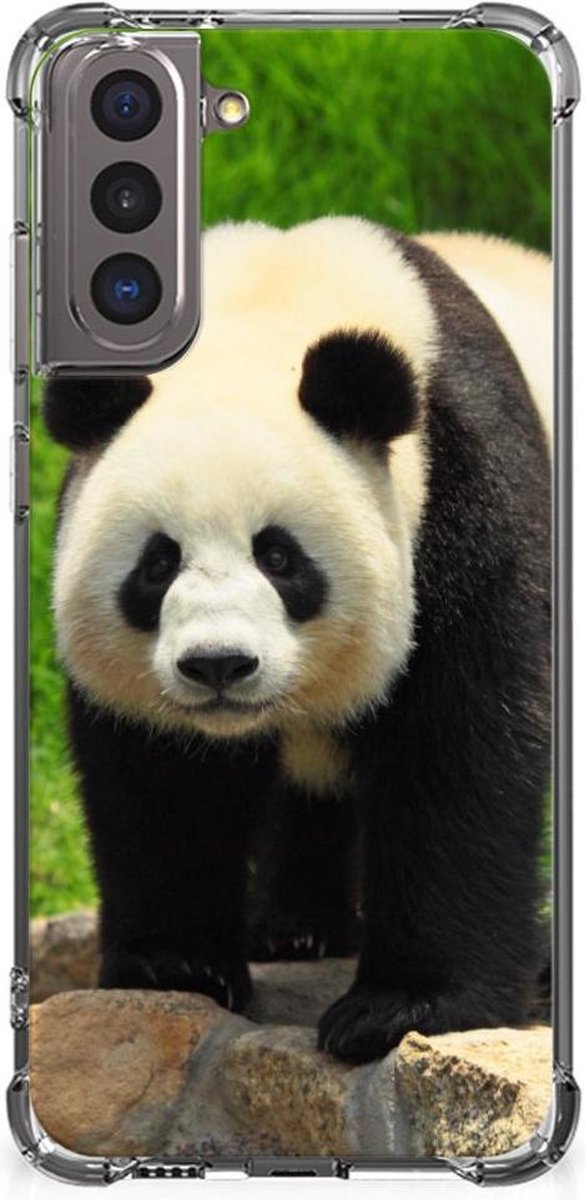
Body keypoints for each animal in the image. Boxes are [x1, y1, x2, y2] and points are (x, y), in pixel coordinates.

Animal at [44, 218, 551, 1065]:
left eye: (279, 557)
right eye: (157, 563)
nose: (218, 665)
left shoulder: (467, 489)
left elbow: (463, 745)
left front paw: (402, 1008)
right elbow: (160, 777)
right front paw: (175, 966)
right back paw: (296, 928)